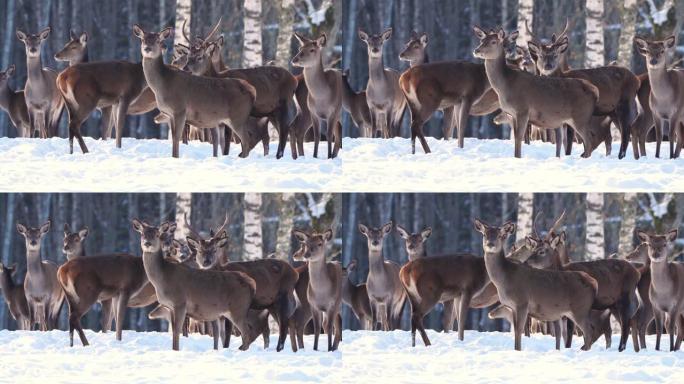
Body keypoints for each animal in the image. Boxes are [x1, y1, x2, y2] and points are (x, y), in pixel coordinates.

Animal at [131, 219, 256, 352]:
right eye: (142, 234)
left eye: (157, 234)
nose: (147, 243)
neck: (163, 278)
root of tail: (251, 283)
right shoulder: (170, 307)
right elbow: (175, 332)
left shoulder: (180, 302)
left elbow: (177, 332)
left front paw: (176, 350)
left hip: (238, 308)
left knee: (246, 333)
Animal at [132, 25, 256, 158]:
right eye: (143, 39)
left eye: (157, 40)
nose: (147, 48)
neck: (163, 85)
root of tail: (252, 90)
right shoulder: (170, 114)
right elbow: (175, 138)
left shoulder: (180, 109)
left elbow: (176, 138)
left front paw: (176, 157)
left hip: (238, 117)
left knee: (246, 140)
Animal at [183, 214, 298, 352]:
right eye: (200, 250)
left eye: (214, 250)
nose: (207, 261)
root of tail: (295, 273)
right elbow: (219, 335)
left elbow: (226, 336)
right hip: (271, 306)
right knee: (281, 327)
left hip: (283, 298)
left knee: (282, 328)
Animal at [472, 27, 600, 158]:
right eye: (482, 40)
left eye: (493, 42)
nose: (476, 50)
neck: (505, 85)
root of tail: (595, 90)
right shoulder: (513, 114)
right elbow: (517, 138)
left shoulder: (522, 110)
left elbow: (519, 138)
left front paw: (518, 157)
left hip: (580, 117)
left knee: (589, 140)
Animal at [476, 219, 600, 352]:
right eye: (484, 234)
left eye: (501, 235)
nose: (490, 244)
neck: (505, 280)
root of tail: (594, 282)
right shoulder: (513, 307)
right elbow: (517, 331)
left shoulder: (522, 302)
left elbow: (519, 331)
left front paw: (518, 350)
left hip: (580, 309)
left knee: (589, 331)